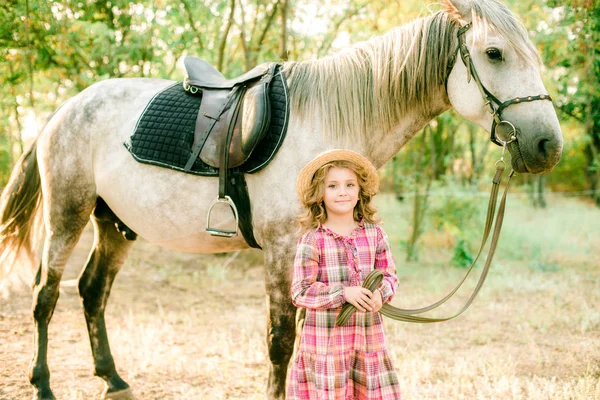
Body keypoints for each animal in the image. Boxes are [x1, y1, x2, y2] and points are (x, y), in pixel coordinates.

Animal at [0, 0, 564, 400]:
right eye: (494, 53)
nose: (548, 146)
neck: (329, 120)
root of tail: (62, 109)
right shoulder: (281, 251)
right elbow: (280, 343)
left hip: (115, 224)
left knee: (92, 292)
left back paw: (113, 379)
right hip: (68, 215)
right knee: (46, 296)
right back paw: (43, 384)